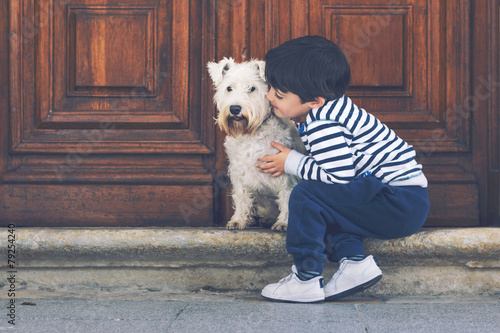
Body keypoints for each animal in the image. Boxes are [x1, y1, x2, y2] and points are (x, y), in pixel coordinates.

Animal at [206, 57, 304, 230]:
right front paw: (238, 220)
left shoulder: (284, 173)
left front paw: (284, 223)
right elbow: (241, 196)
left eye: (252, 88)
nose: (235, 108)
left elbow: (286, 196)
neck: (251, 133)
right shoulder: (239, 171)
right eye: (229, 88)